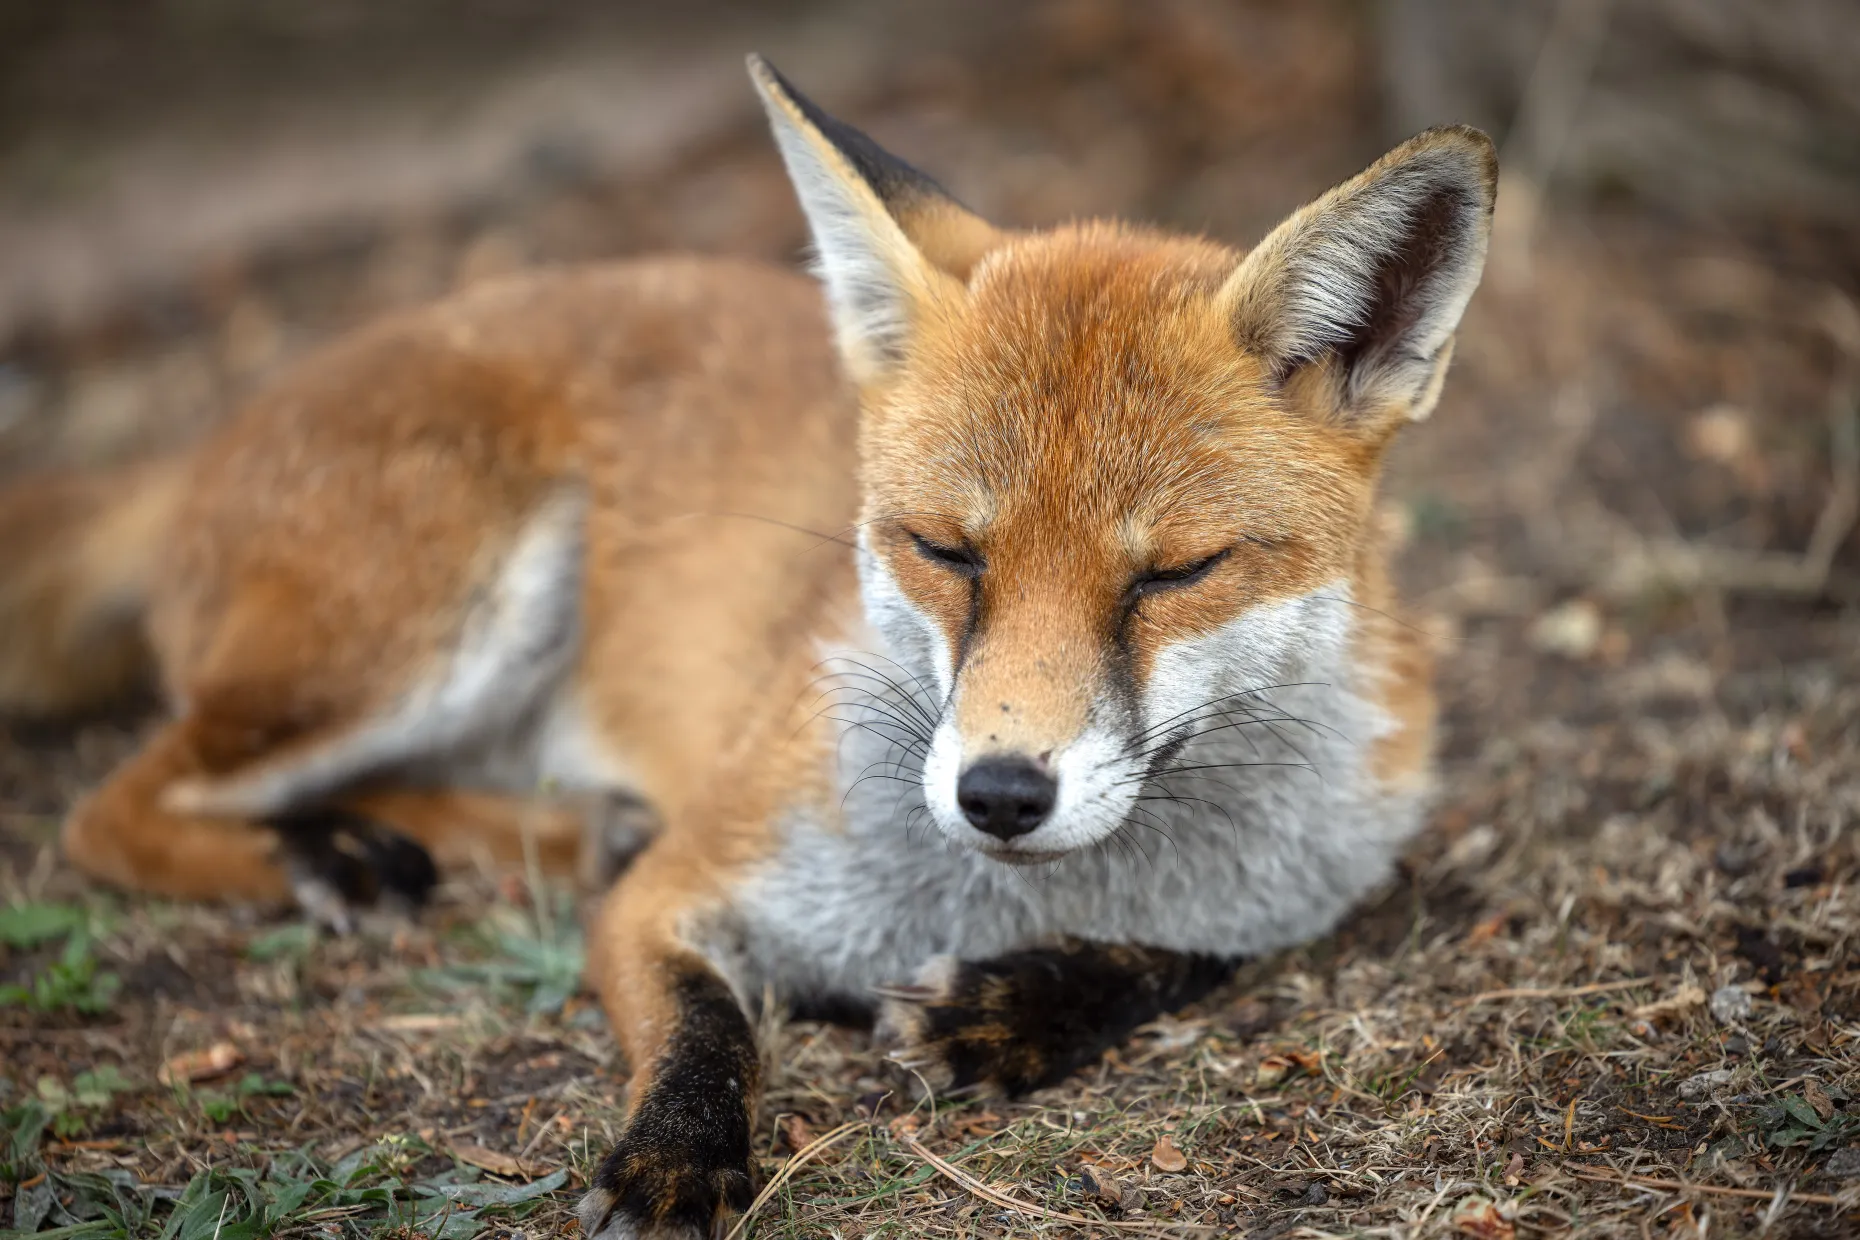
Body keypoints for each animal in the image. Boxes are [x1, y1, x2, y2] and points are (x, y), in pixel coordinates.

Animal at [0, 57, 1495, 1239]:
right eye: (946, 552)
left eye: (1174, 573)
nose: (999, 794)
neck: (984, 898)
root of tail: (213, 430)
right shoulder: (681, 887)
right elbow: (702, 1028)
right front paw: (674, 1163)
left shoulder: (1324, 877)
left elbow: (1176, 955)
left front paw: (1010, 1010)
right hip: (419, 627)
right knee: (112, 809)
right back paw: (330, 857)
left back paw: (517, 830)